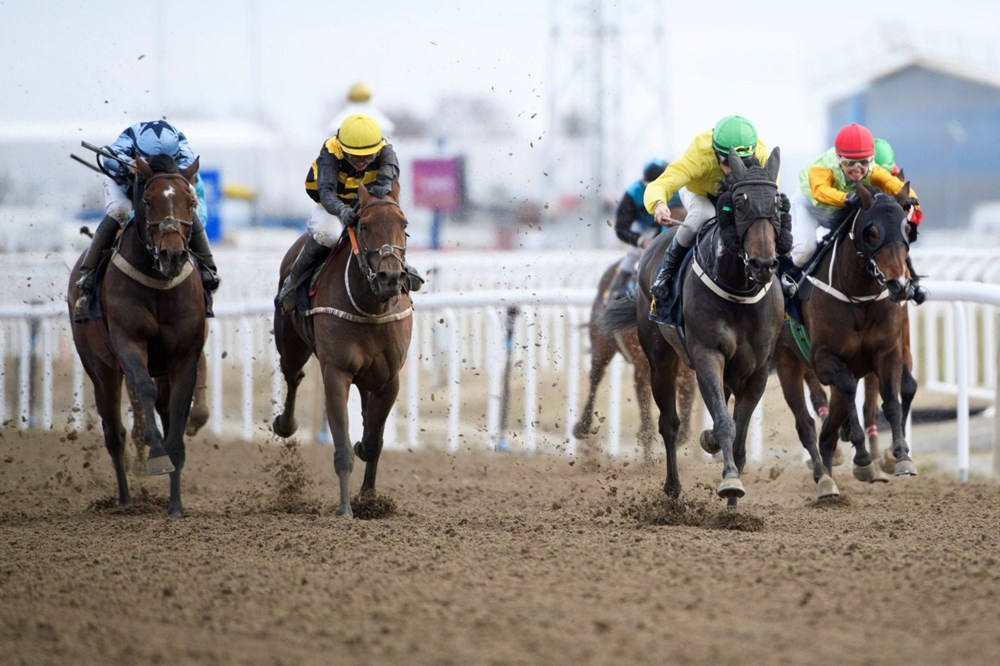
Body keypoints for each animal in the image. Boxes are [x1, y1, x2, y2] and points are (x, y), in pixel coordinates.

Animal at [68, 154, 205, 512]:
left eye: (191, 202)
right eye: (147, 201)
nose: (172, 254)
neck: (159, 283)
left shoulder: (185, 355)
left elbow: (178, 417)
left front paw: (176, 505)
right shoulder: (128, 341)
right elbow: (143, 388)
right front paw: (156, 455)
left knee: (164, 413)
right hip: (99, 367)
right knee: (113, 433)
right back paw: (126, 500)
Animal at [274, 179, 410, 516]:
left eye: (404, 225)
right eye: (364, 225)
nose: (391, 277)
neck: (370, 308)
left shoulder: (389, 379)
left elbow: (373, 442)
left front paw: (370, 499)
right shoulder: (336, 373)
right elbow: (343, 447)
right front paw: (345, 509)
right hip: (291, 344)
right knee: (292, 376)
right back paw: (285, 424)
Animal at [576, 256, 700, 460]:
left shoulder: (687, 373)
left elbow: (684, 427)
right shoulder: (644, 367)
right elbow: (647, 423)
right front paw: (648, 462)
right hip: (602, 341)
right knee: (596, 375)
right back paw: (582, 426)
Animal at [604, 149, 784, 504]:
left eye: (776, 203)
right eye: (739, 204)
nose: (763, 264)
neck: (738, 290)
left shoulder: (756, 371)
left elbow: (738, 435)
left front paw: (732, 498)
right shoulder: (706, 356)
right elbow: (725, 423)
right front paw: (730, 481)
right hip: (659, 359)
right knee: (669, 424)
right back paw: (673, 487)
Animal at [772, 184, 920, 496]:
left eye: (907, 228)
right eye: (871, 231)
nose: (900, 285)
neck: (858, 297)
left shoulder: (888, 352)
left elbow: (892, 399)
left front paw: (901, 456)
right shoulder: (825, 360)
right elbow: (850, 390)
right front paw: (863, 459)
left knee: (827, 433)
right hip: (786, 362)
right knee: (806, 424)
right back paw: (824, 478)